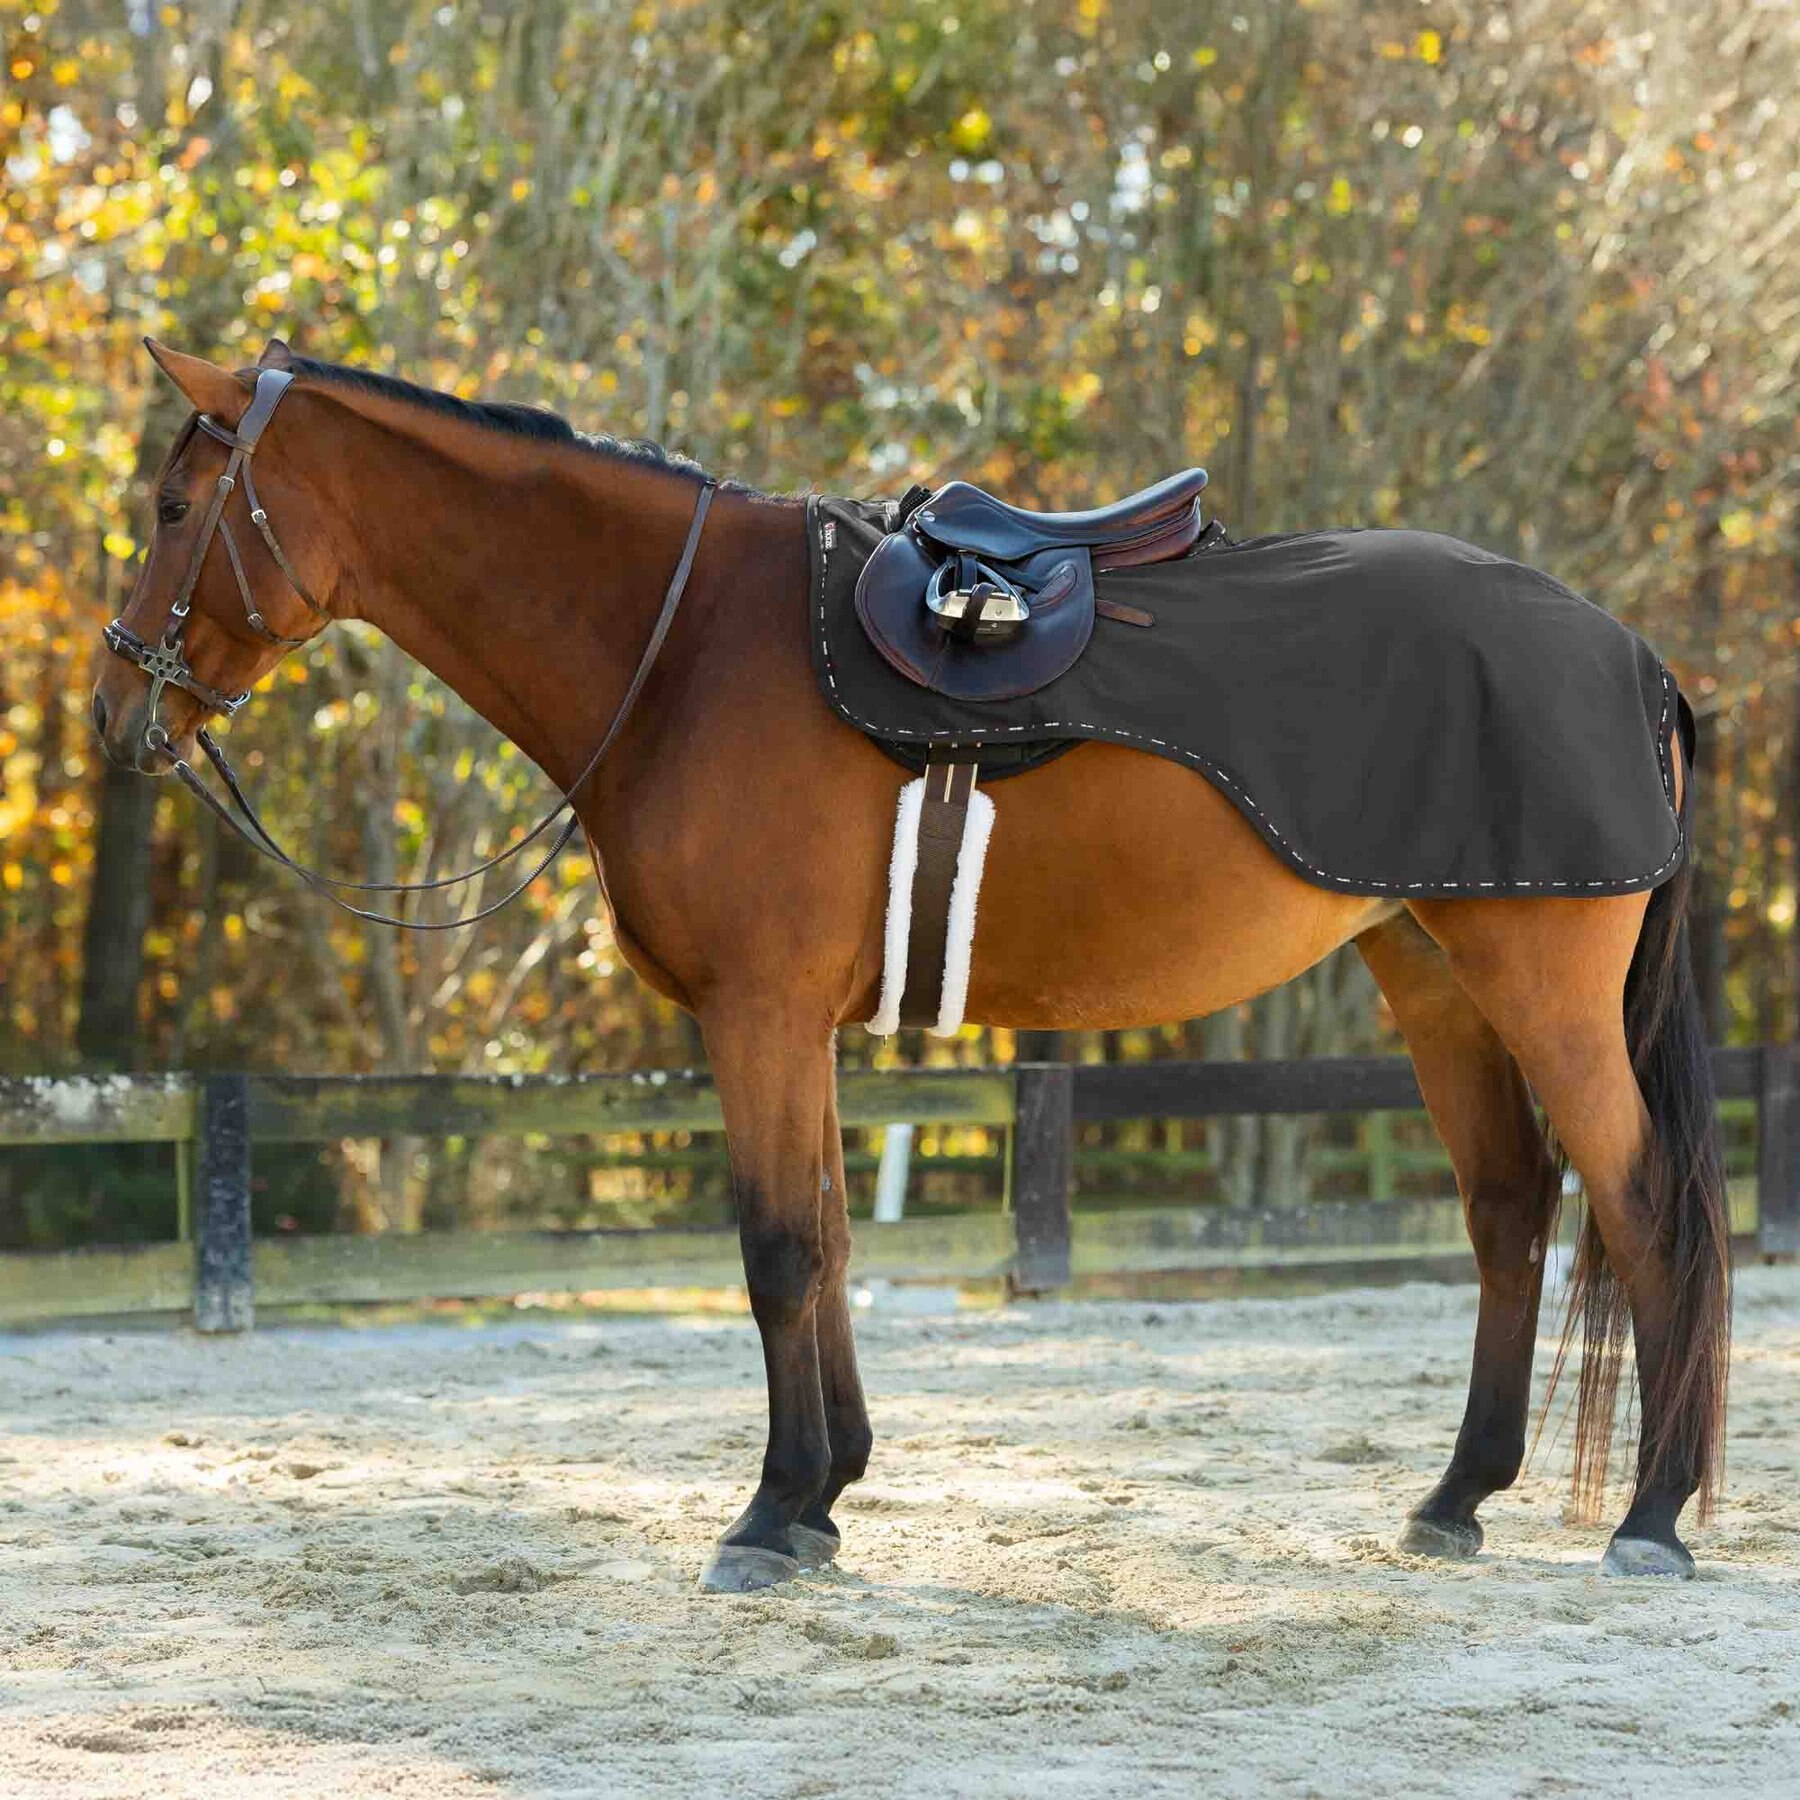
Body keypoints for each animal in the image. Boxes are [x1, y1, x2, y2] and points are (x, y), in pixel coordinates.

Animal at [92, 339, 1731, 1592]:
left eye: (176, 504)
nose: (118, 714)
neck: (684, 648)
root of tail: (1629, 653)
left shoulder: (756, 1014)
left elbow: (775, 1249)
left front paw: (768, 1516)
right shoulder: (797, 1023)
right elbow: (825, 1236)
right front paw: (827, 1492)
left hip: (1538, 989)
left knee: (1643, 1206)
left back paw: (1651, 1518)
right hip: (1436, 976)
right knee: (1512, 1213)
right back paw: (1457, 1499)